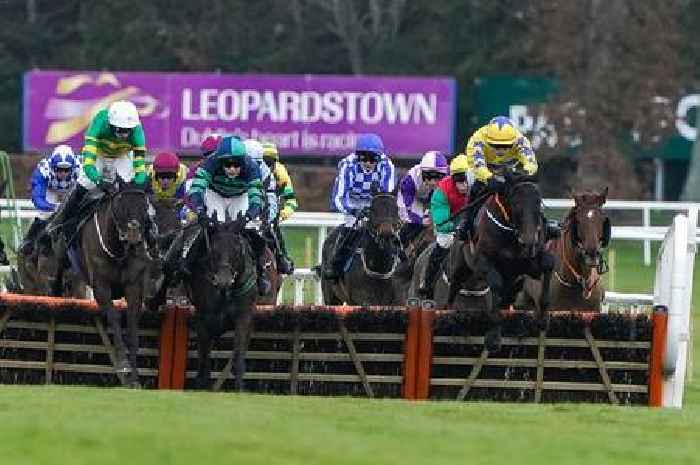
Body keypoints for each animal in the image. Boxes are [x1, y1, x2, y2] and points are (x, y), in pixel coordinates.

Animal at [185, 216, 258, 390]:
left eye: (237, 249)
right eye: (213, 249)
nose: (223, 280)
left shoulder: (243, 317)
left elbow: (238, 355)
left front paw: (239, 388)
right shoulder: (203, 319)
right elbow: (204, 360)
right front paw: (201, 385)